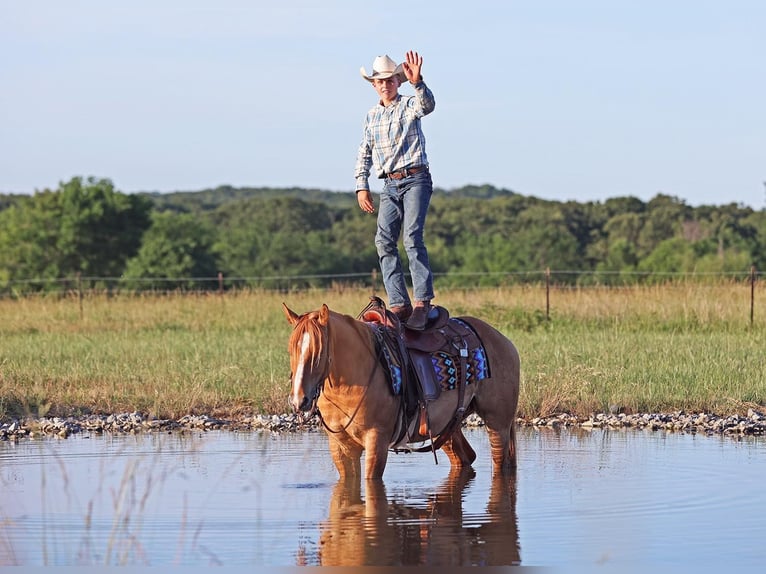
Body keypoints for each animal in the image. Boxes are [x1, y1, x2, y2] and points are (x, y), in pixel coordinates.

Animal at [284, 302, 520, 482]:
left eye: (319, 352)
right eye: (290, 349)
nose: (299, 400)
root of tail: (504, 341)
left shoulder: (376, 441)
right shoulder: (340, 446)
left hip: (498, 423)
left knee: (501, 464)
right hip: (446, 427)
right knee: (465, 458)